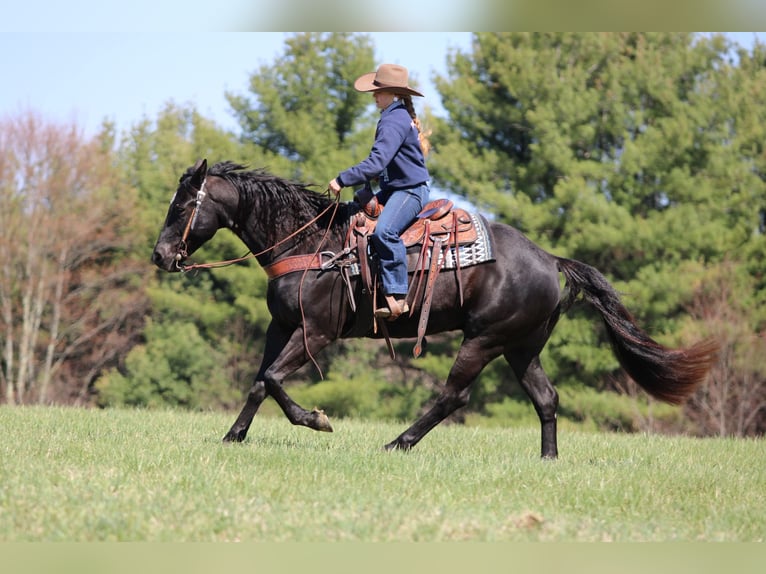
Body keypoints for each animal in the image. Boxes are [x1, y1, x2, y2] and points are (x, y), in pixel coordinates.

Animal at [151, 159, 718, 458]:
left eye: (181, 206)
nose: (160, 256)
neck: (310, 241)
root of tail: (549, 260)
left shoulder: (317, 332)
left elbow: (272, 379)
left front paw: (316, 420)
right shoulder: (282, 325)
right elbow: (259, 381)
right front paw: (234, 436)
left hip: (484, 340)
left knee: (454, 396)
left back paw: (397, 443)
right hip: (521, 348)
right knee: (546, 398)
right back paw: (548, 459)